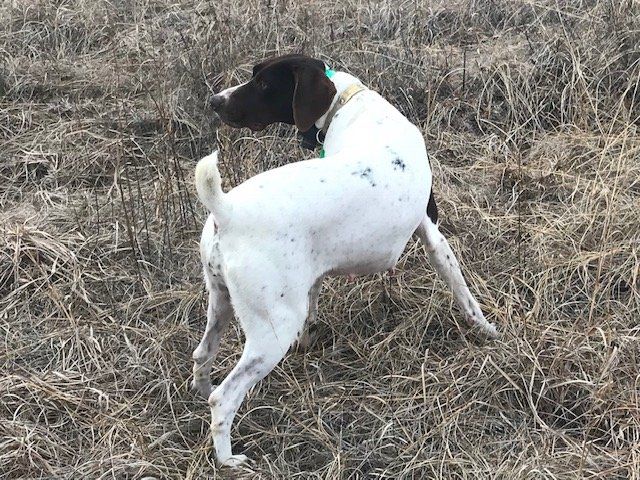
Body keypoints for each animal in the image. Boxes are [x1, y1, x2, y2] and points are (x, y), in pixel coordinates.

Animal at [192, 54, 498, 467]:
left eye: (264, 83)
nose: (214, 101)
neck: (350, 103)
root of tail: (227, 211)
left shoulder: (314, 268)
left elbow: (314, 299)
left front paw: (309, 340)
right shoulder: (433, 233)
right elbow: (464, 294)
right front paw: (489, 331)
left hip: (221, 301)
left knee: (202, 355)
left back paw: (200, 391)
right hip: (271, 332)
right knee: (223, 398)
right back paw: (228, 459)